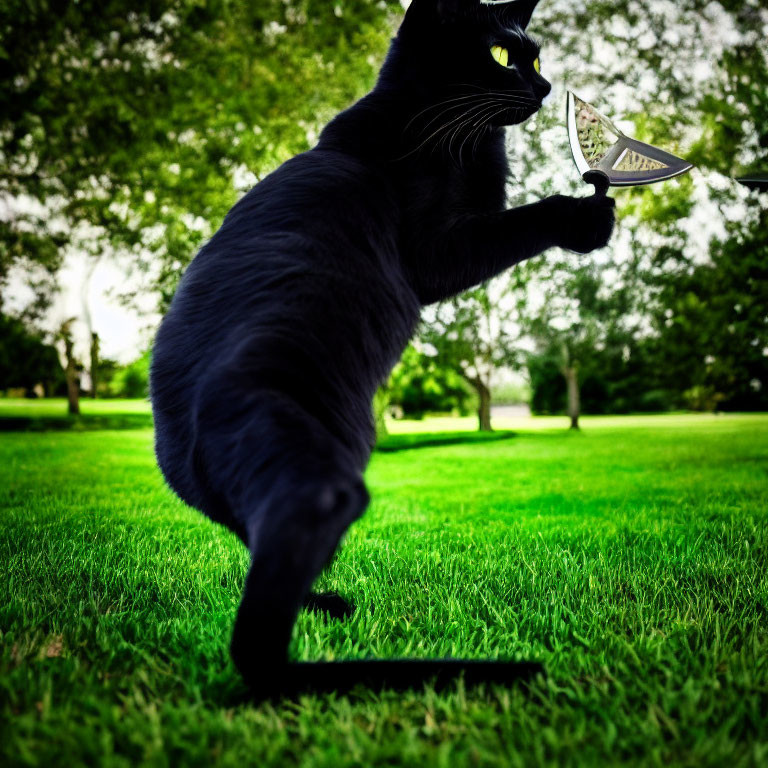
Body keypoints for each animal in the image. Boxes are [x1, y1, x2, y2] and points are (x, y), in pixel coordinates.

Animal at [153, 0, 616, 692]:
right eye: (502, 55)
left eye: (536, 57)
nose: (543, 86)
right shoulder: (438, 252)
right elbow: (520, 222)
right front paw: (589, 214)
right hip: (317, 470)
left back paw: (326, 607)